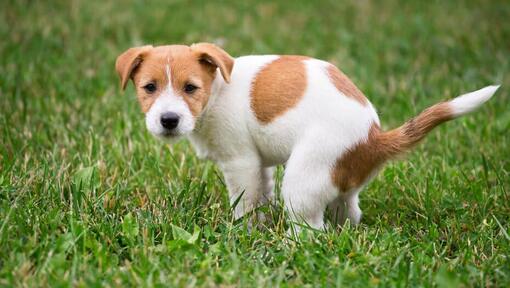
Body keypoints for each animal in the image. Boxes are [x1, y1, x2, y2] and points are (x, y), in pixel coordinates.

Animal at [114, 42, 498, 231]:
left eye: (191, 88)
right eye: (149, 87)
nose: (168, 120)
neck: (218, 89)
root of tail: (374, 138)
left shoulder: (240, 162)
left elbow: (245, 203)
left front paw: (244, 233)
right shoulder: (259, 165)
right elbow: (262, 194)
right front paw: (260, 224)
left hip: (303, 181)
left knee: (313, 230)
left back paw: (290, 245)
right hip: (338, 183)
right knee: (348, 213)